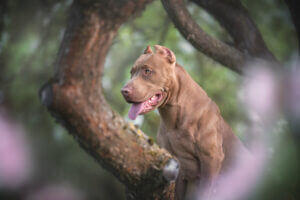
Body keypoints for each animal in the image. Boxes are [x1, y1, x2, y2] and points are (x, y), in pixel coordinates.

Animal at [120, 45, 245, 200]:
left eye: (147, 71)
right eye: (131, 72)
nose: (124, 91)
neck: (174, 116)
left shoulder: (211, 159)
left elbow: (206, 191)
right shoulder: (178, 168)